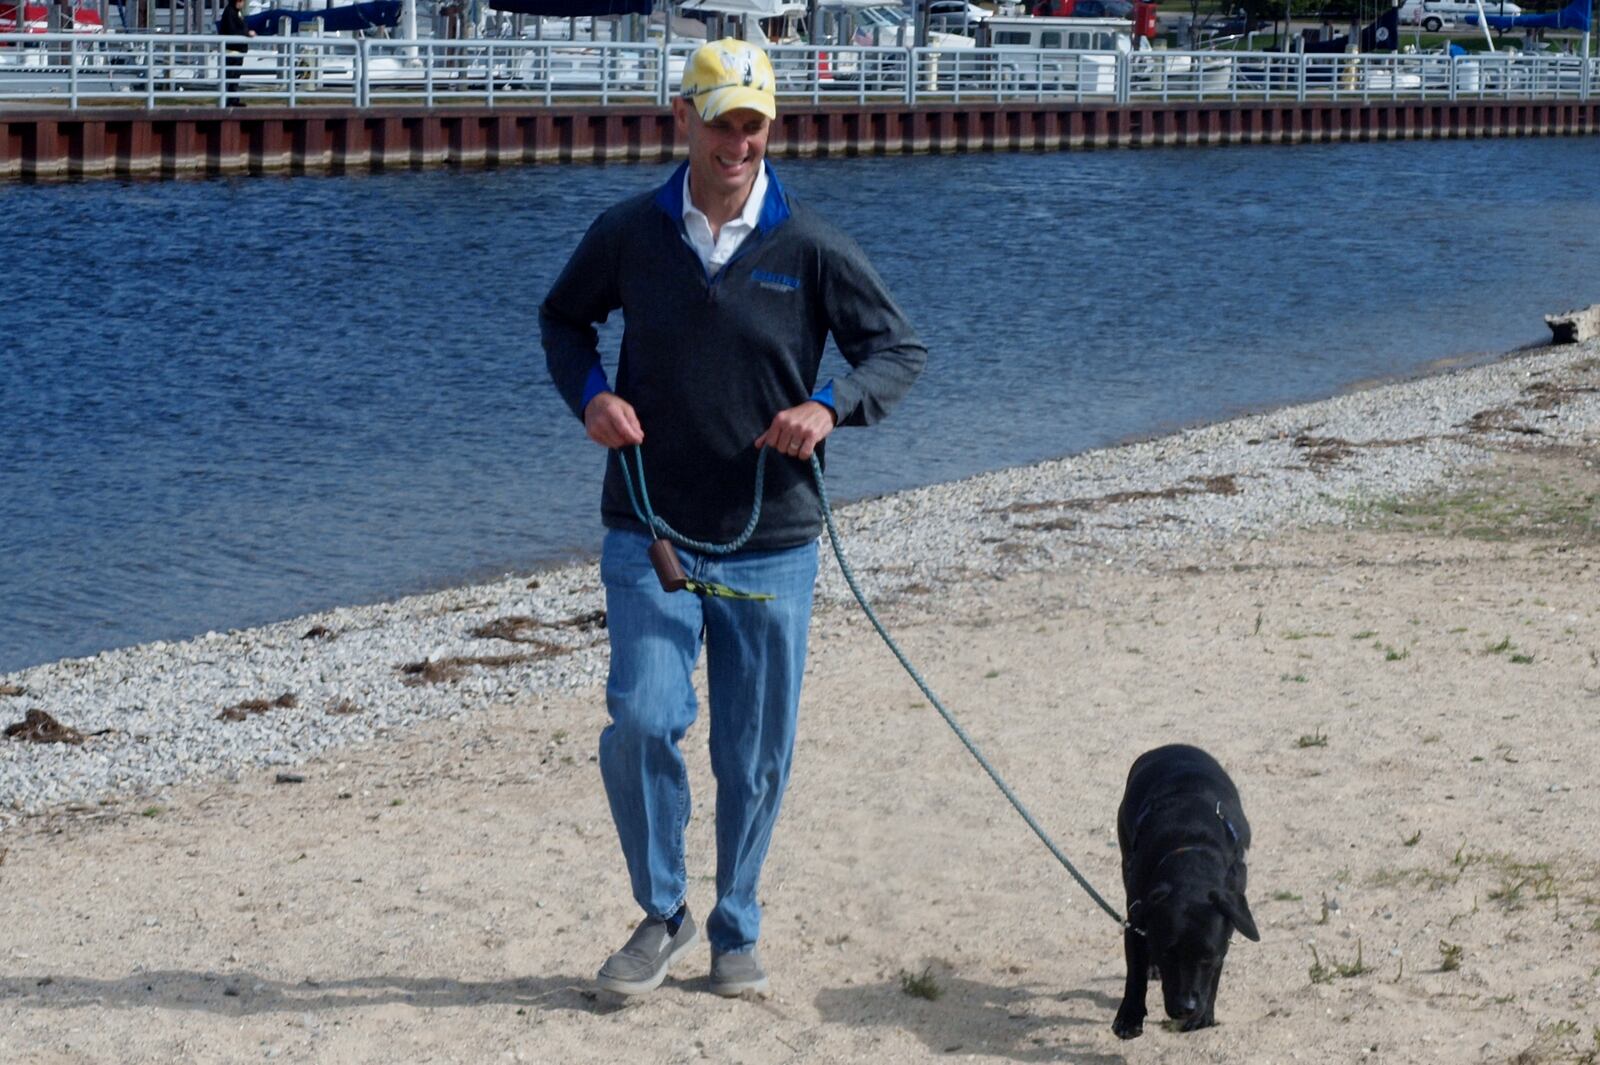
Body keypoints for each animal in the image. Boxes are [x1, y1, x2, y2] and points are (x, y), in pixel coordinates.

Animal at [1107, 741, 1254, 1029]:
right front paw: (1129, 1017)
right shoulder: (1136, 913)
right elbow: (1136, 970)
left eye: (1208, 957)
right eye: (1168, 955)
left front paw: (1204, 1015)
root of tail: (1172, 746)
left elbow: (1215, 974)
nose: (1187, 1008)